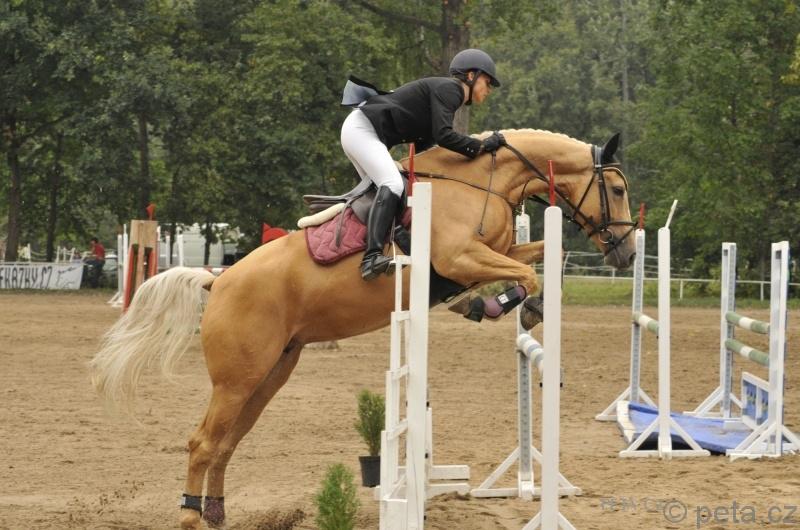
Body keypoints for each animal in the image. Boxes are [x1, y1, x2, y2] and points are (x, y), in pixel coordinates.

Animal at [90, 129, 637, 529]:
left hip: (269, 376)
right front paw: (510, 306)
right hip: (236, 380)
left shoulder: (489, 252)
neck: (481, 182)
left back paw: (217, 513)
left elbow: (543, 258)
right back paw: (190, 517)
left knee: (226, 442)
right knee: (202, 442)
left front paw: (491, 304)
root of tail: (218, 280)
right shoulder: (460, 257)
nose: (628, 255)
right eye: (616, 189)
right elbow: (527, 273)